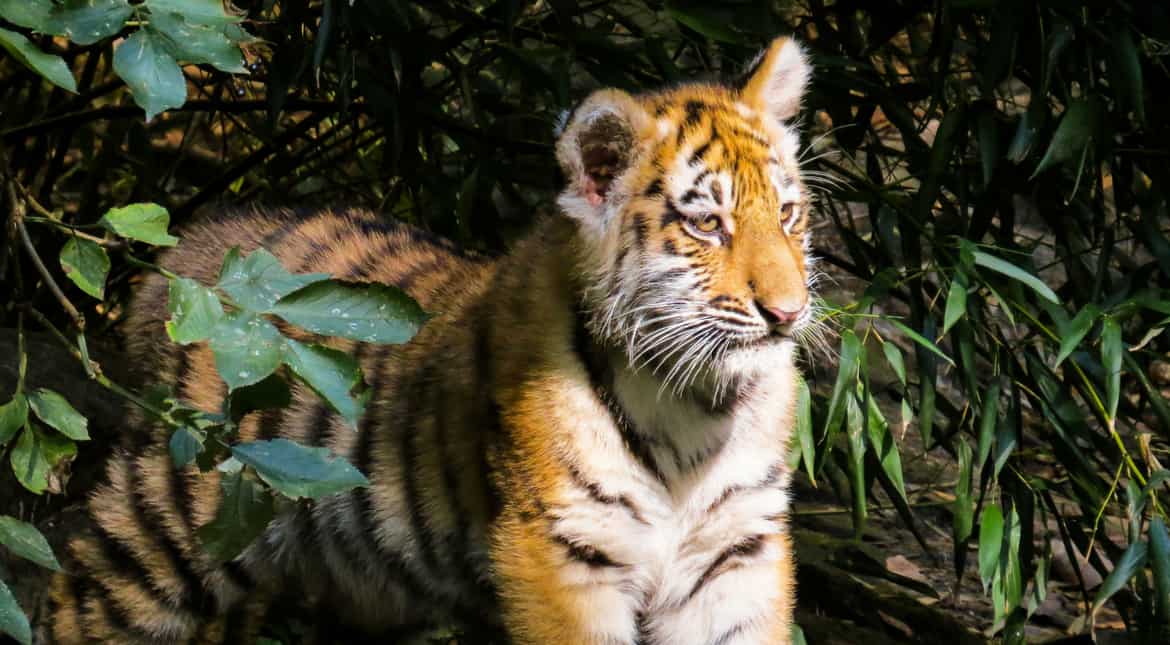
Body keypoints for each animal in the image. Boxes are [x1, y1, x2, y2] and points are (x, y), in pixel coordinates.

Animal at [40, 36, 820, 644]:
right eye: (707, 225)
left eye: (787, 213)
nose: (788, 312)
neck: (695, 407)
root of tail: (193, 249)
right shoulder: (561, 554)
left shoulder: (735, 555)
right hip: (170, 518)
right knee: (77, 594)